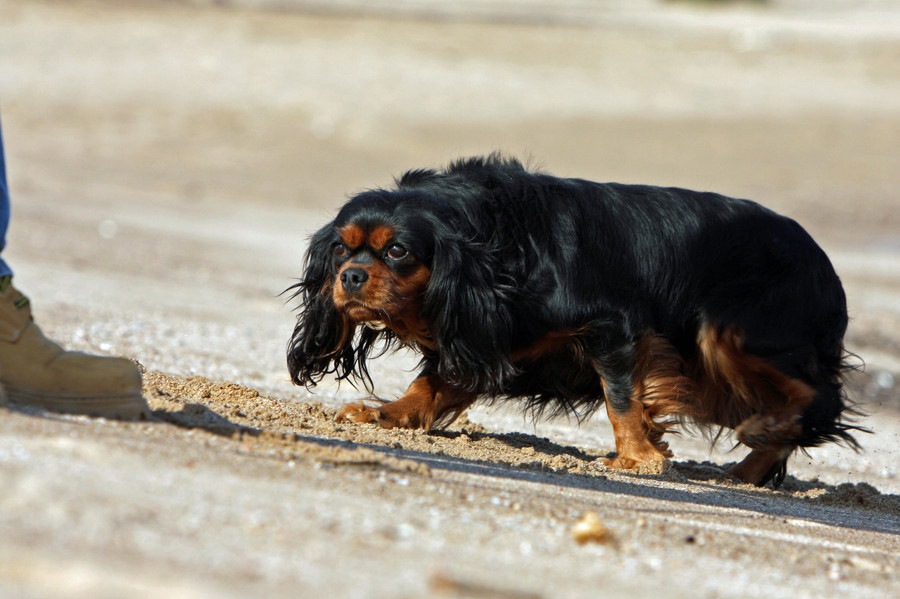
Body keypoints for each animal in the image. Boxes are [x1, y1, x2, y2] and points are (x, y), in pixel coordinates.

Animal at [284, 155, 860, 488]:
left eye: (397, 251)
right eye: (342, 250)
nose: (351, 277)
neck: (494, 249)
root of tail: (822, 259)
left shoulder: (614, 325)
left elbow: (622, 398)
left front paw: (637, 458)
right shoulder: (481, 333)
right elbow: (434, 381)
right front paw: (388, 413)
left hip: (729, 334)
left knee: (818, 396)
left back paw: (767, 430)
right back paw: (749, 468)